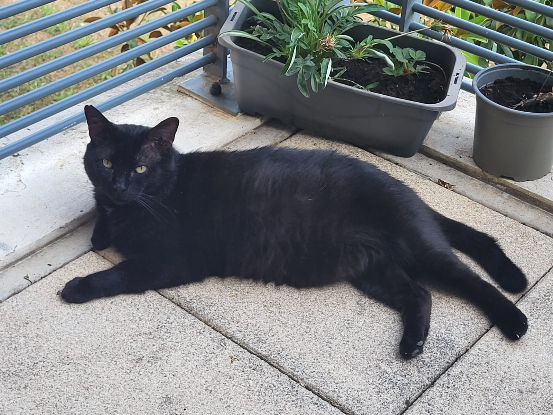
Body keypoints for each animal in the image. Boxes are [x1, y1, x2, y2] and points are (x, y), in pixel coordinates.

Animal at [61, 105, 528, 359]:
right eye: (106, 162)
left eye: (141, 168)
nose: (119, 186)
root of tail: (407, 190)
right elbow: (100, 223)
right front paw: (100, 233)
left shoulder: (171, 261)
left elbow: (120, 273)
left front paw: (79, 286)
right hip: (373, 271)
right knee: (420, 294)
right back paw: (411, 346)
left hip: (418, 249)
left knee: (469, 282)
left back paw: (514, 318)